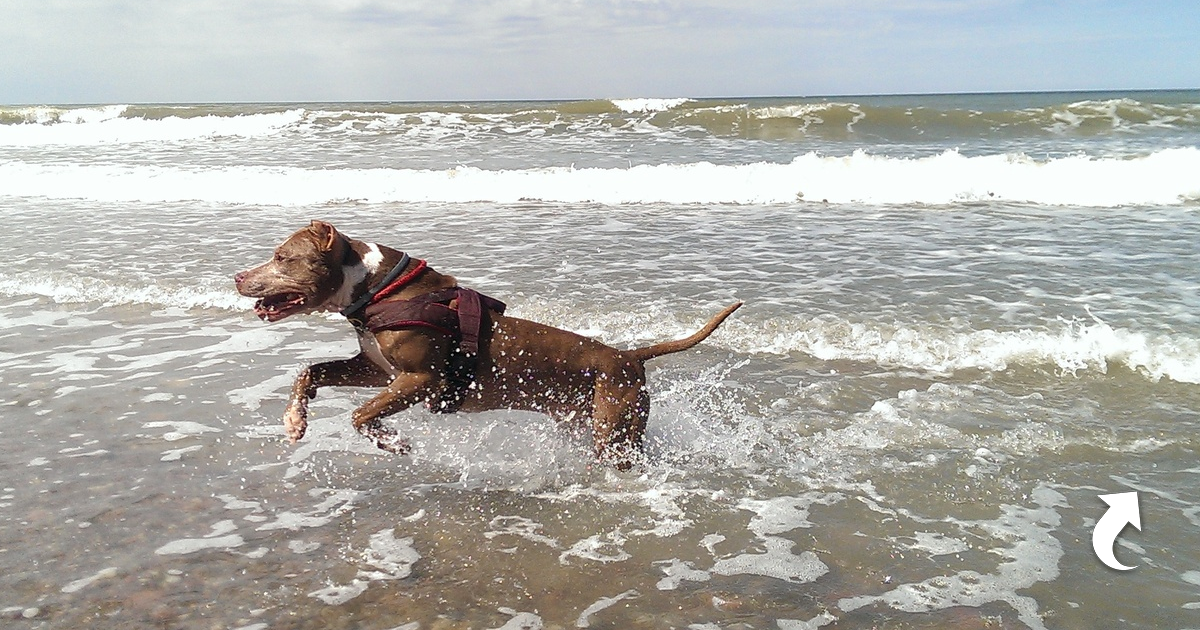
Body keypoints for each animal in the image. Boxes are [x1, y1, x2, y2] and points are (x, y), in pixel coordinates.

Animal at [231, 220, 739, 465]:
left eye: (281, 257)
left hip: (614, 425)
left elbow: (361, 415)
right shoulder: (374, 368)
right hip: (589, 419)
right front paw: (294, 420)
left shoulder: (421, 378)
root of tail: (628, 355)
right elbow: (310, 371)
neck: (376, 291)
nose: (237, 276)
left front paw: (394, 444)